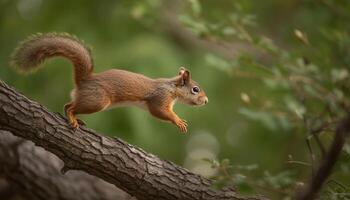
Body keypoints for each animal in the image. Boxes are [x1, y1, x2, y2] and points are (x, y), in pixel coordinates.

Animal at [10, 32, 208, 133]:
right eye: (195, 89)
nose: (206, 101)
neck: (172, 88)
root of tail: (85, 79)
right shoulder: (160, 98)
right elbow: (159, 111)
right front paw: (178, 121)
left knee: (67, 105)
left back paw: (76, 119)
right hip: (97, 100)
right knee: (71, 107)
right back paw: (73, 118)